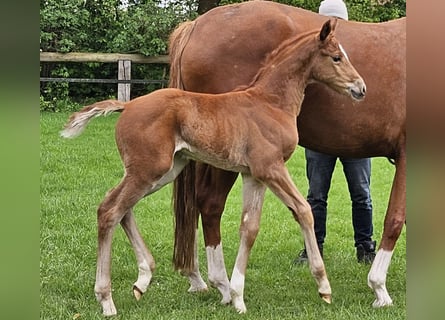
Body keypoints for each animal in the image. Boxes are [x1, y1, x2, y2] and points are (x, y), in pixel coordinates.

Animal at [60, 19, 364, 316]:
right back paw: (106, 299)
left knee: (120, 208)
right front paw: (324, 286)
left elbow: (249, 228)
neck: (271, 103)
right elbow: (303, 210)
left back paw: (143, 279)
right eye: (336, 57)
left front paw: (237, 296)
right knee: (110, 210)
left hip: (163, 171)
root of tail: (127, 105)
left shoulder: (254, 175)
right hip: (148, 170)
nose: (360, 88)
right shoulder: (272, 168)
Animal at [170, 0, 406, 310]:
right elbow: (394, 219)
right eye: (336, 57)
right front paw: (379, 288)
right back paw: (222, 284)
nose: (360, 88)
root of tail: (196, 25)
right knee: (210, 203)